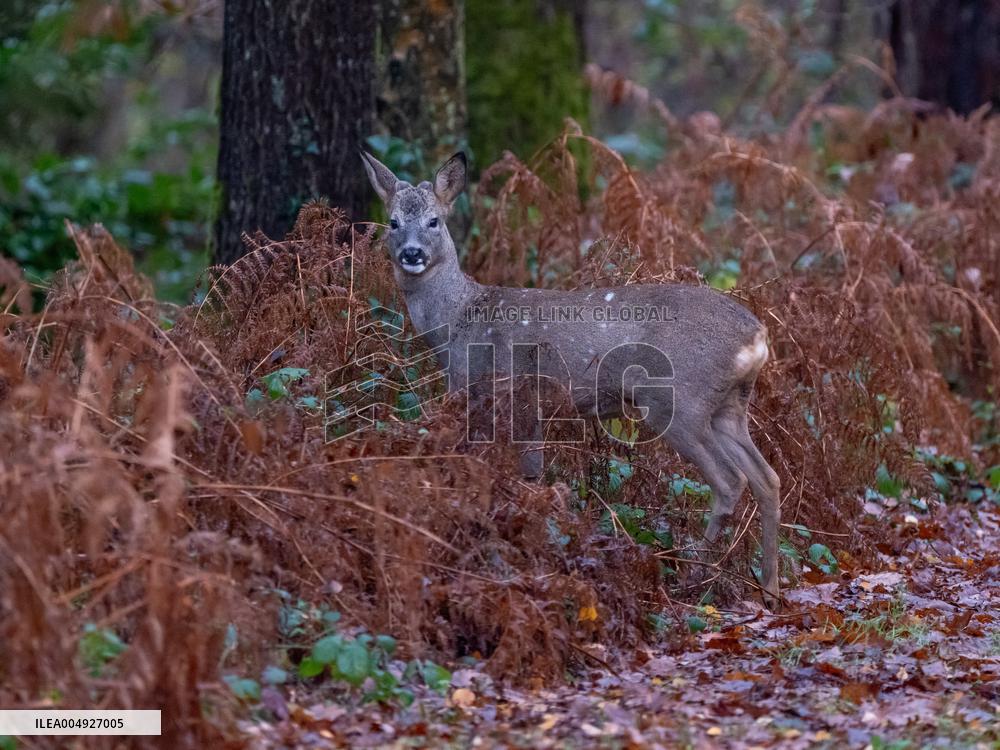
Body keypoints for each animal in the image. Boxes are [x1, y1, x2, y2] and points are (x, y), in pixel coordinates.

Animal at [360, 150, 782, 607]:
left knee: (729, 481)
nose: (412, 253)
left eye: (434, 220)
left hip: (677, 400)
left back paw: (693, 577)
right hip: (728, 406)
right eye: (393, 222)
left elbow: (525, 474)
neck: (459, 322)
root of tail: (756, 338)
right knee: (767, 478)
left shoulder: (507, 393)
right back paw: (771, 587)